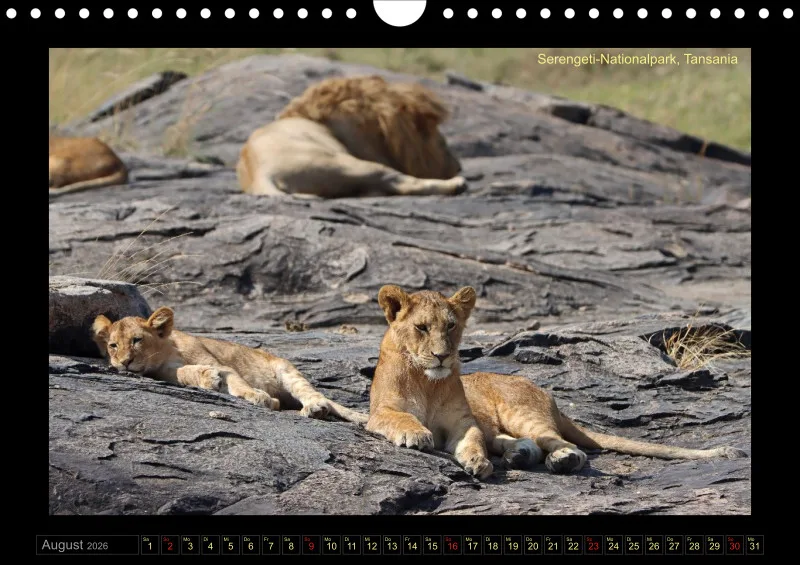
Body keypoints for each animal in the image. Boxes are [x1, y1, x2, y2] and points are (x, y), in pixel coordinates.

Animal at [91, 306, 369, 424]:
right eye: (113, 346)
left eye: (137, 340)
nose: (124, 363)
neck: (167, 351)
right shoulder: (167, 372)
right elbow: (185, 373)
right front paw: (207, 378)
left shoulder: (221, 363)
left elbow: (237, 381)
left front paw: (258, 396)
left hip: (287, 371)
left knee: (316, 396)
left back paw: (314, 409)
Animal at [235, 75, 467, 198]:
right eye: (437, 137)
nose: (458, 166)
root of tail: (261, 176)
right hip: (345, 164)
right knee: (400, 181)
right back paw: (457, 185)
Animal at [366, 285, 748, 479]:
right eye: (421, 328)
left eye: (451, 326)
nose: (442, 356)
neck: (427, 381)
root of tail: (548, 396)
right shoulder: (379, 412)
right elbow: (399, 417)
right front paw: (417, 434)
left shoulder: (463, 423)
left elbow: (471, 439)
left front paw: (476, 461)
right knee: (522, 442)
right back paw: (519, 455)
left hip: (522, 413)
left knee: (563, 444)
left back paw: (560, 459)